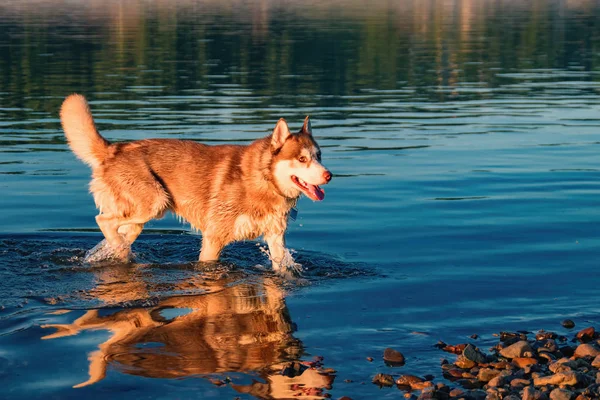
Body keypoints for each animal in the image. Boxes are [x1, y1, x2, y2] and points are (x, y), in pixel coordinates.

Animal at [59, 94, 332, 272]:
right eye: (302, 159)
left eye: (319, 156)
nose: (329, 175)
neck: (263, 181)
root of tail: (114, 149)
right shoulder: (214, 238)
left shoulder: (275, 238)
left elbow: (281, 268)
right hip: (154, 203)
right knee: (102, 221)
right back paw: (124, 252)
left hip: (138, 220)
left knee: (115, 233)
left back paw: (122, 255)